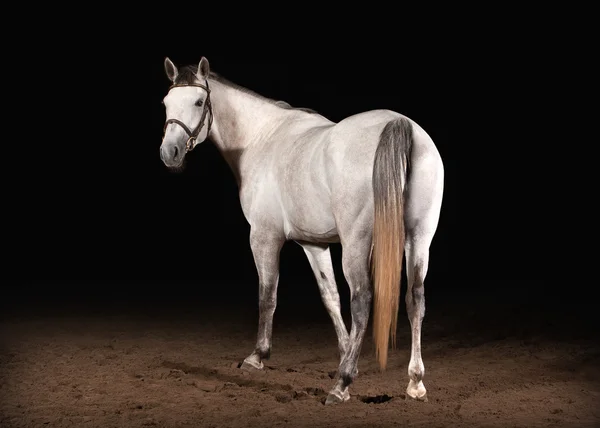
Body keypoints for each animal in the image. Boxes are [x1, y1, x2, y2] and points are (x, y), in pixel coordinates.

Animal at [159, 56, 446, 404]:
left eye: (199, 102)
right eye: (166, 102)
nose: (169, 152)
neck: (261, 138)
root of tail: (399, 124)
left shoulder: (264, 237)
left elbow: (267, 294)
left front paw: (258, 356)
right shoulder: (314, 244)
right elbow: (330, 297)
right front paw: (344, 355)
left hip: (356, 241)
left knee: (362, 299)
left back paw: (341, 387)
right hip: (419, 237)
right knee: (415, 299)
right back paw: (414, 382)